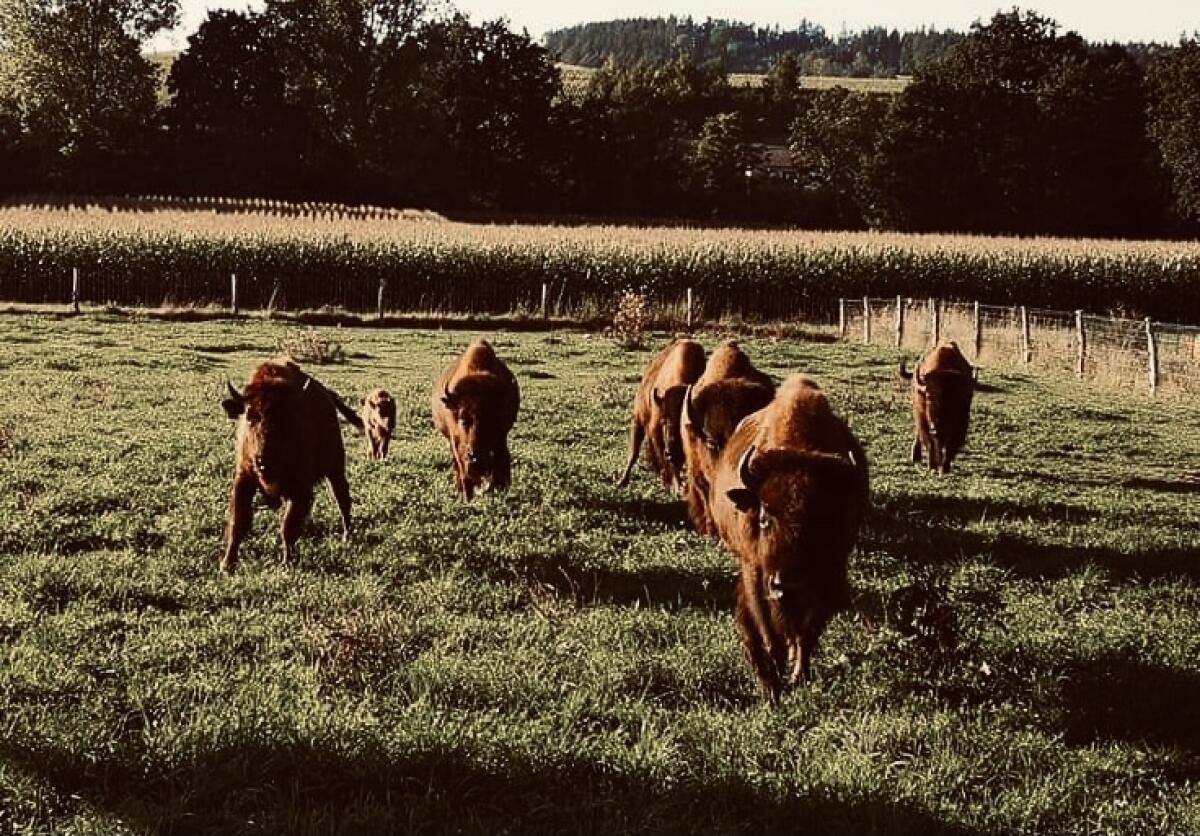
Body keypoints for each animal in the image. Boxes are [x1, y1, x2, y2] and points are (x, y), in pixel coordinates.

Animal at [220, 358, 362, 574]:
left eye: (285, 420)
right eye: (251, 416)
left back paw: (347, 537)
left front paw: (287, 563)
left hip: (336, 467)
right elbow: (238, 521)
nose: (264, 460)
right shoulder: (244, 478)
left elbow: (288, 527)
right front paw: (227, 565)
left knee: (342, 498)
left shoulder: (300, 488)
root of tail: (327, 394)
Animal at [433, 339, 520, 500]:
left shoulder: (501, 437)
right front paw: (467, 496)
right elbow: (463, 470)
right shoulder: (456, 443)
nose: (476, 456)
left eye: (493, 418)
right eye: (463, 419)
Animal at [617, 338, 706, 492]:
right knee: (633, 453)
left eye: (685, 424)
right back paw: (622, 481)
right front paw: (676, 485)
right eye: (664, 421)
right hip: (638, 419)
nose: (670, 451)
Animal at [711, 375, 869, 702]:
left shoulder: (831, 575)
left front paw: (799, 674)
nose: (790, 583)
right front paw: (775, 678)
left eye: (826, 520)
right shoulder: (755, 571)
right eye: (763, 518)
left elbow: (807, 632)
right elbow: (769, 630)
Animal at [900, 342, 975, 474]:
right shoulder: (924, 421)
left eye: (954, 402)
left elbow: (949, 446)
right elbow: (930, 444)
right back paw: (916, 456)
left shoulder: (960, 424)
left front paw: (944, 468)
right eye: (929, 398)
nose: (936, 427)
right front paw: (932, 466)